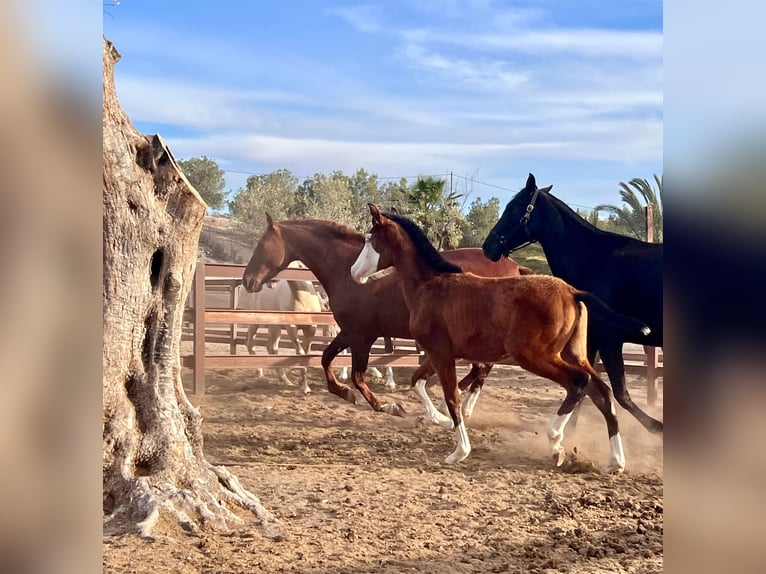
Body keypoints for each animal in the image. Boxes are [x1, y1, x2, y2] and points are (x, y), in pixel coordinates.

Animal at [243, 214, 532, 420]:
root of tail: (515, 267)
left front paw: (388, 406)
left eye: (261, 245)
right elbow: (326, 359)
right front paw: (344, 392)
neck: (347, 269)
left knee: (481, 370)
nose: (247, 281)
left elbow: (358, 376)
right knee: (479, 370)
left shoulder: (363, 336)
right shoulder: (350, 332)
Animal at [352, 205, 652, 474]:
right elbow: (418, 382)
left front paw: (459, 451)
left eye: (369, 239)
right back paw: (614, 462)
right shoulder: (444, 354)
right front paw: (441, 420)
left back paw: (556, 443)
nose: (355, 273)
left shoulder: (441, 354)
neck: (430, 285)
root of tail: (573, 292)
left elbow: (452, 396)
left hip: (535, 356)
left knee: (579, 383)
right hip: (573, 353)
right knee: (602, 393)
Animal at [484, 173, 664, 434]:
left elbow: (620, 394)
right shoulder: (591, 341)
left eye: (513, 207)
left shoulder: (609, 340)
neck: (593, 259)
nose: (488, 246)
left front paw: (657, 427)